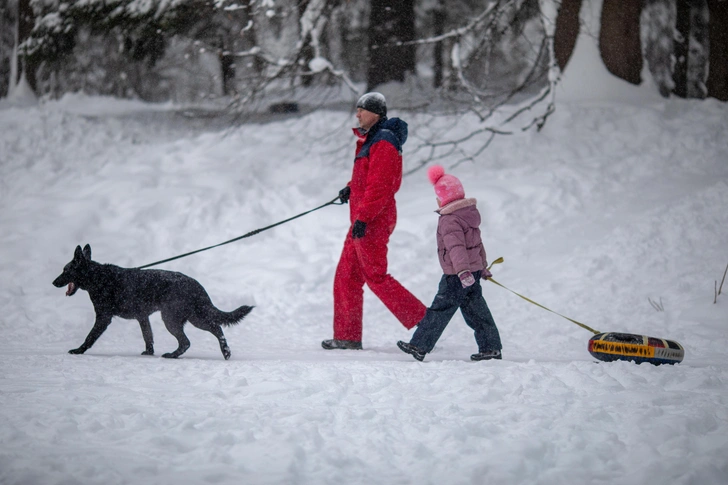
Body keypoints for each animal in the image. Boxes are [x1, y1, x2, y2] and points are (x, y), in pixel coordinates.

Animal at [53, 244, 253, 358]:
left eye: (65, 270)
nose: (53, 282)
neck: (98, 277)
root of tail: (195, 284)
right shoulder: (142, 317)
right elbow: (147, 337)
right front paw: (149, 353)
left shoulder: (103, 318)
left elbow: (90, 337)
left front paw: (79, 351)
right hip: (194, 317)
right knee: (215, 328)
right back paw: (225, 351)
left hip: (172, 319)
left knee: (189, 340)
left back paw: (174, 355)